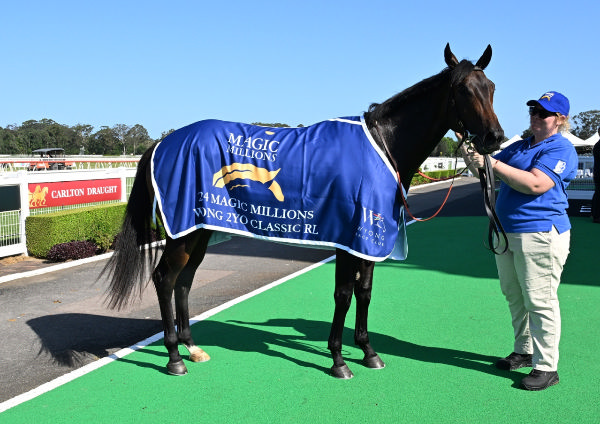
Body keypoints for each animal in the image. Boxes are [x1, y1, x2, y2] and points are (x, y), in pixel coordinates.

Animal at [101, 44, 504, 380]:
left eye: (491, 87)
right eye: (463, 90)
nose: (494, 138)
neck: (382, 146)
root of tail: (162, 142)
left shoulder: (370, 238)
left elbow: (365, 292)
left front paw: (368, 352)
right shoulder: (349, 237)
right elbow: (344, 294)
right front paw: (339, 360)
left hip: (199, 227)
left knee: (184, 281)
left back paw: (192, 347)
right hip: (182, 231)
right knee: (165, 279)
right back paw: (174, 358)